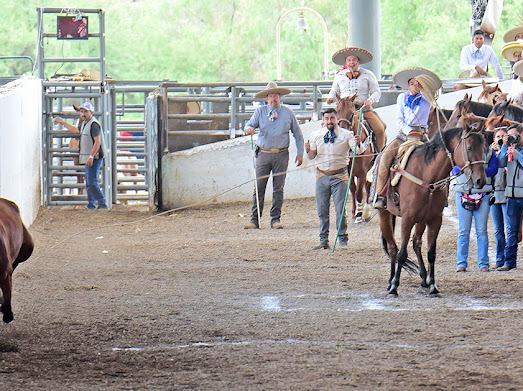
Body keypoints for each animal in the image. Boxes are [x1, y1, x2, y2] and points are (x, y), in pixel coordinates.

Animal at [336, 94, 376, 224]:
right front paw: (354, 212)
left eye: (351, 113)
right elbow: (353, 189)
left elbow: (359, 192)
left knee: (368, 186)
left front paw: (359, 215)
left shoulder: (363, 171)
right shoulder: (350, 171)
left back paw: (366, 212)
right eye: (337, 111)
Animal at [380, 124, 488, 296]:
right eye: (469, 147)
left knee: (416, 243)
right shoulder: (407, 219)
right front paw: (395, 287)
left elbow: (431, 253)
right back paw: (391, 282)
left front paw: (433, 286)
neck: (427, 176)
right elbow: (402, 254)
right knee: (392, 249)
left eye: (485, 148)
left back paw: (424, 279)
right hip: (384, 214)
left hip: (421, 220)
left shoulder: (435, 219)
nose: (480, 180)